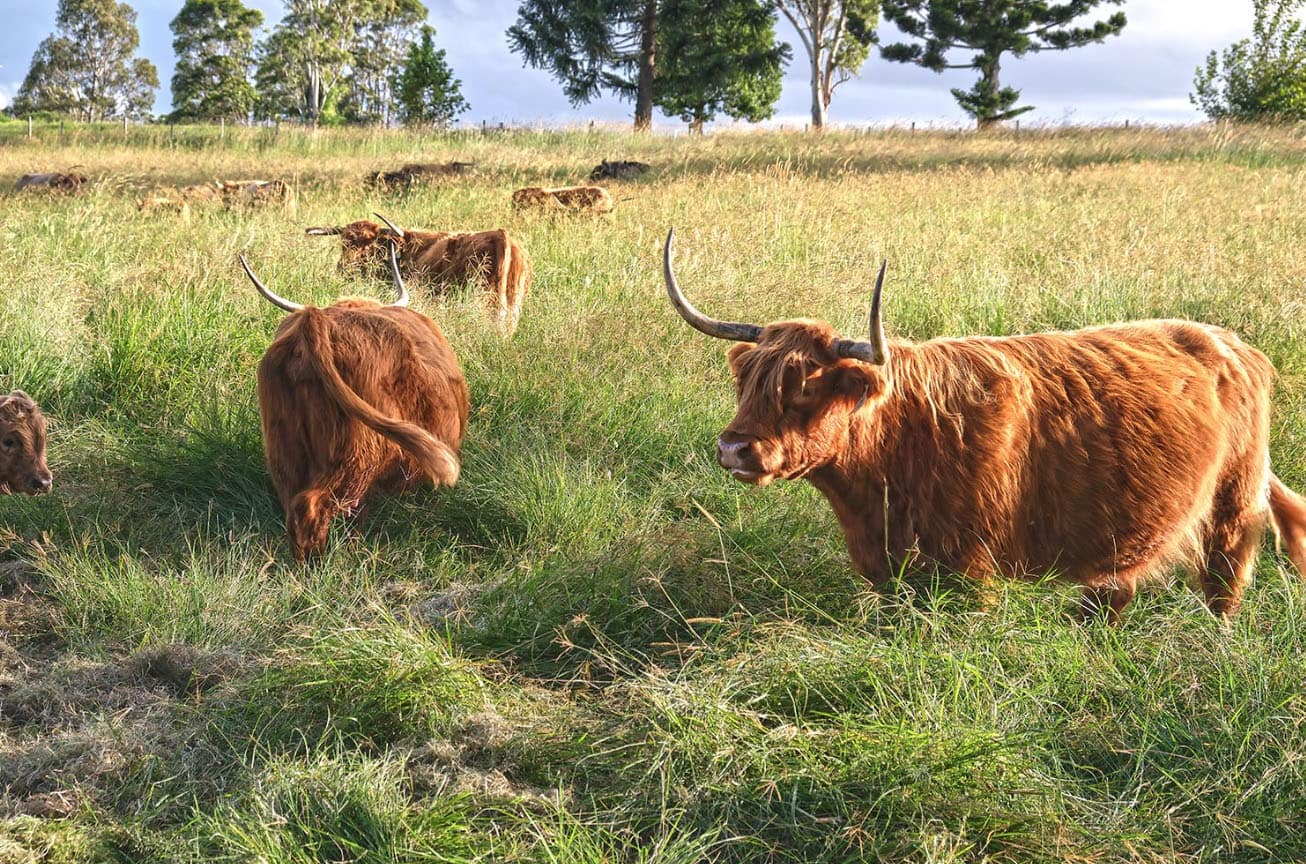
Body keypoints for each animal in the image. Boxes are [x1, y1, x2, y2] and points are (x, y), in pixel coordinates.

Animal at [662, 229, 1306, 621]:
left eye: (803, 387)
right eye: (747, 383)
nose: (734, 448)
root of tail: (1230, 342)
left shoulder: (972, 572)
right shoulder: (889, 570)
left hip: (1231, 506)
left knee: (1224, 587)